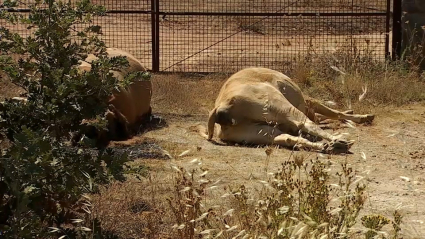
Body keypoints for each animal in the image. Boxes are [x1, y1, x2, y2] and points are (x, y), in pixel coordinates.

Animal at [200, 66, 372, 154]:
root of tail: (221, 108)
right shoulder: (308, 102)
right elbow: (332, 112)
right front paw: (363, 116)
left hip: (259, 132)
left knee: (288, 138)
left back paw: (329, 146)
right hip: (280, 107)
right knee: (305, 123)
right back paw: (339, 141)